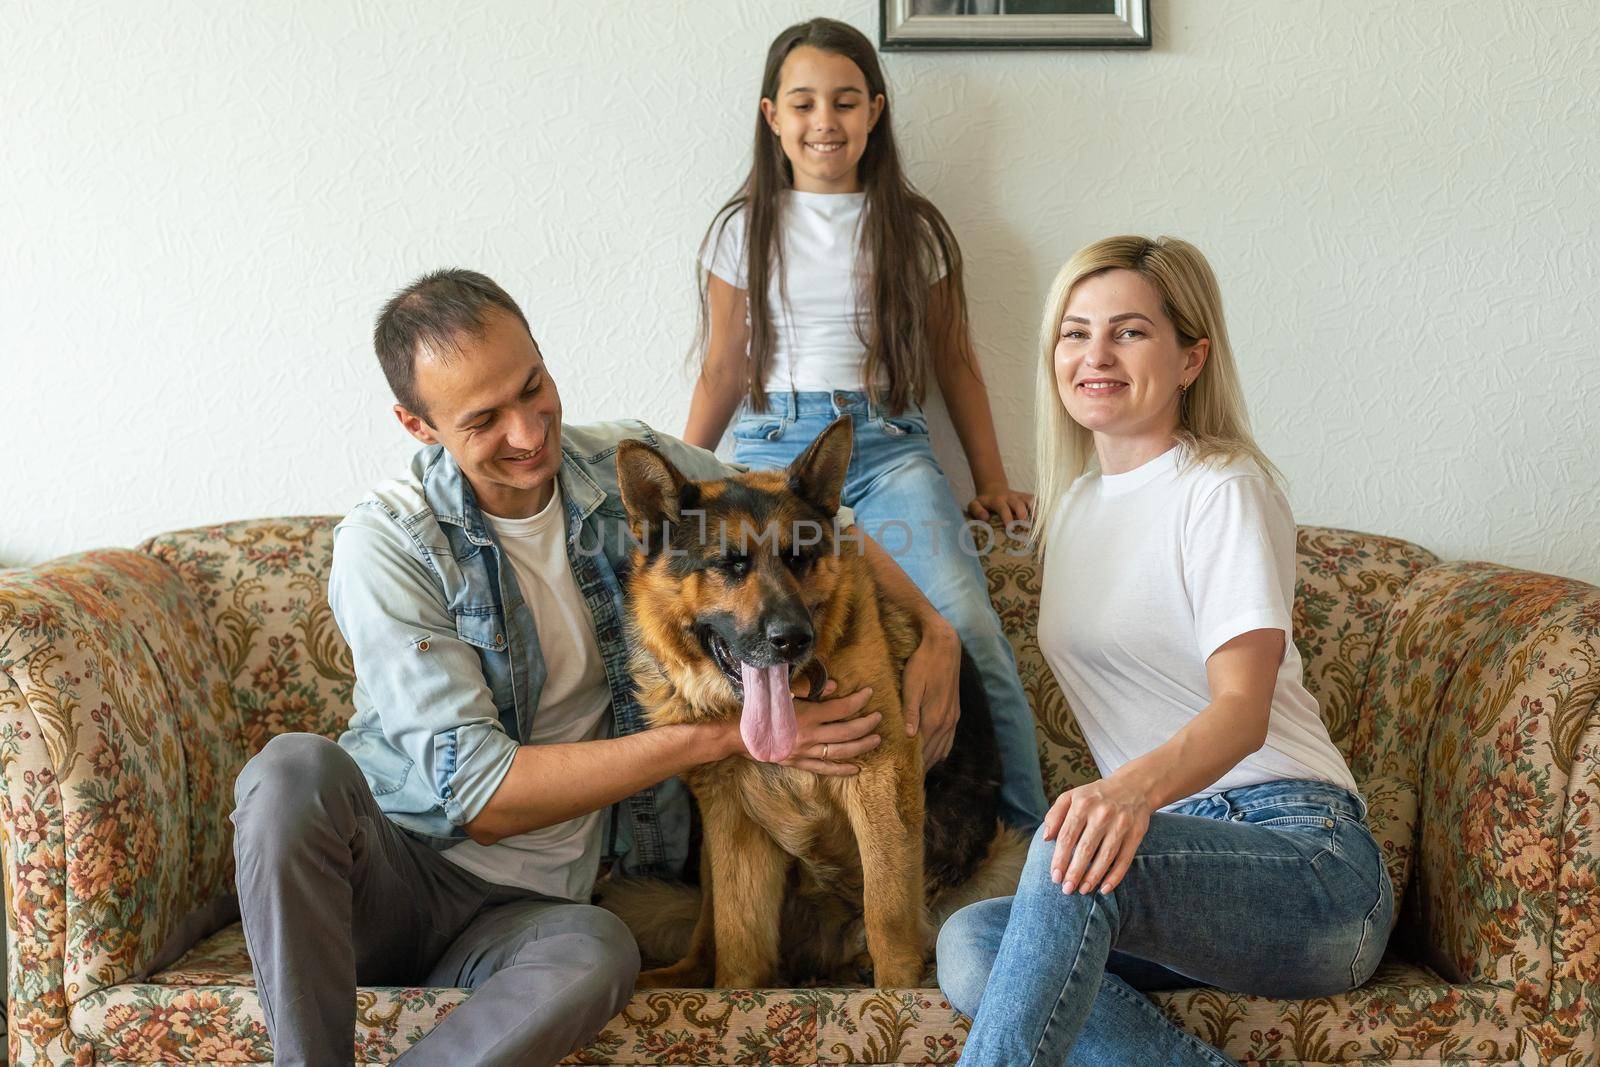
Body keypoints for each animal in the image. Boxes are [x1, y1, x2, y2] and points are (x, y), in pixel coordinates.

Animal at [604, 419, 1030, 991]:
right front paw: (737, 994)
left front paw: (896, 991)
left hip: (1007, 855)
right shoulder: (734, 822)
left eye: (798, 559)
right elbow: (738, 938)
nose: (792, 640)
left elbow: (887, 910)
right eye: (730, 565)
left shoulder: (880, 782)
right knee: (707, 929)